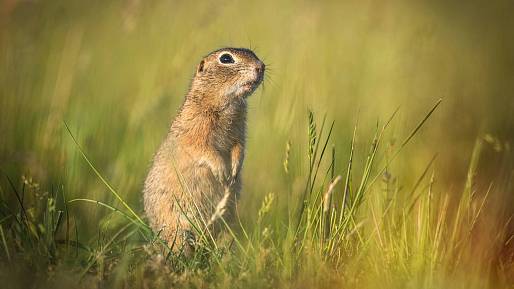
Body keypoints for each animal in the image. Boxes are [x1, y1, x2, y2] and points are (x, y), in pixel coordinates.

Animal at [143, 47, 264, 252]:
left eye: (253, 53)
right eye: (226, 58)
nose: (261, 66)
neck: (226, 104)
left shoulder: (239, 132)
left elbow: (239, 148)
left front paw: (234, 171)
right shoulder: (196, 132)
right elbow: (204, 149)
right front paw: (222, 172)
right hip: (179, 227)